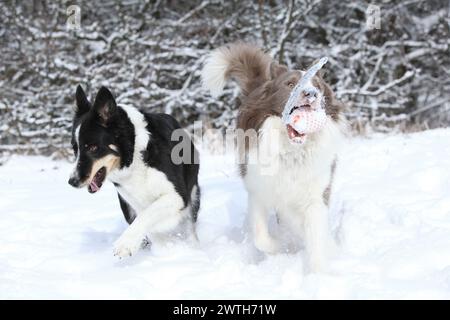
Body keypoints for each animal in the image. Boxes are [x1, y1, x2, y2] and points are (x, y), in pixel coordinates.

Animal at [68, 85, 200, 258]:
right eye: (75, 149)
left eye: (93, 147)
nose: (72, 181)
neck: (135, 156)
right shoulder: (133, 203)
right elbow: (149, 225)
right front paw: (162, 250)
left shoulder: (178, 196)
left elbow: (147, 214)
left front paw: (125, 243)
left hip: (193, 198)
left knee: (190, 228)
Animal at [202, 43, 346, 272]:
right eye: (290, 84)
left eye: (318, 86)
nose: (311, 94)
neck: (292, 151)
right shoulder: (258, 190)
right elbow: (262, 237)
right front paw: (280, 245)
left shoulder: (316, 194)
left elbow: (314, 235)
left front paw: (318, 272)